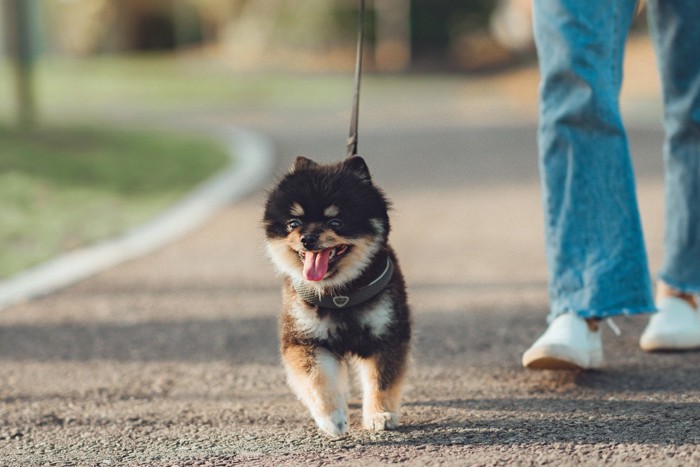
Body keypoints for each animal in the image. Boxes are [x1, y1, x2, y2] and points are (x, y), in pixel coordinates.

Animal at [262, 157, 410, 438]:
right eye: (293, 223)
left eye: (335, 222)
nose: (307, 239)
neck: (341, 293)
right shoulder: (305, 339)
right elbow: (316, 380)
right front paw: (331, 417)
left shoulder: (386, 333)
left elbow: (380, 380)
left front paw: (379, 415)